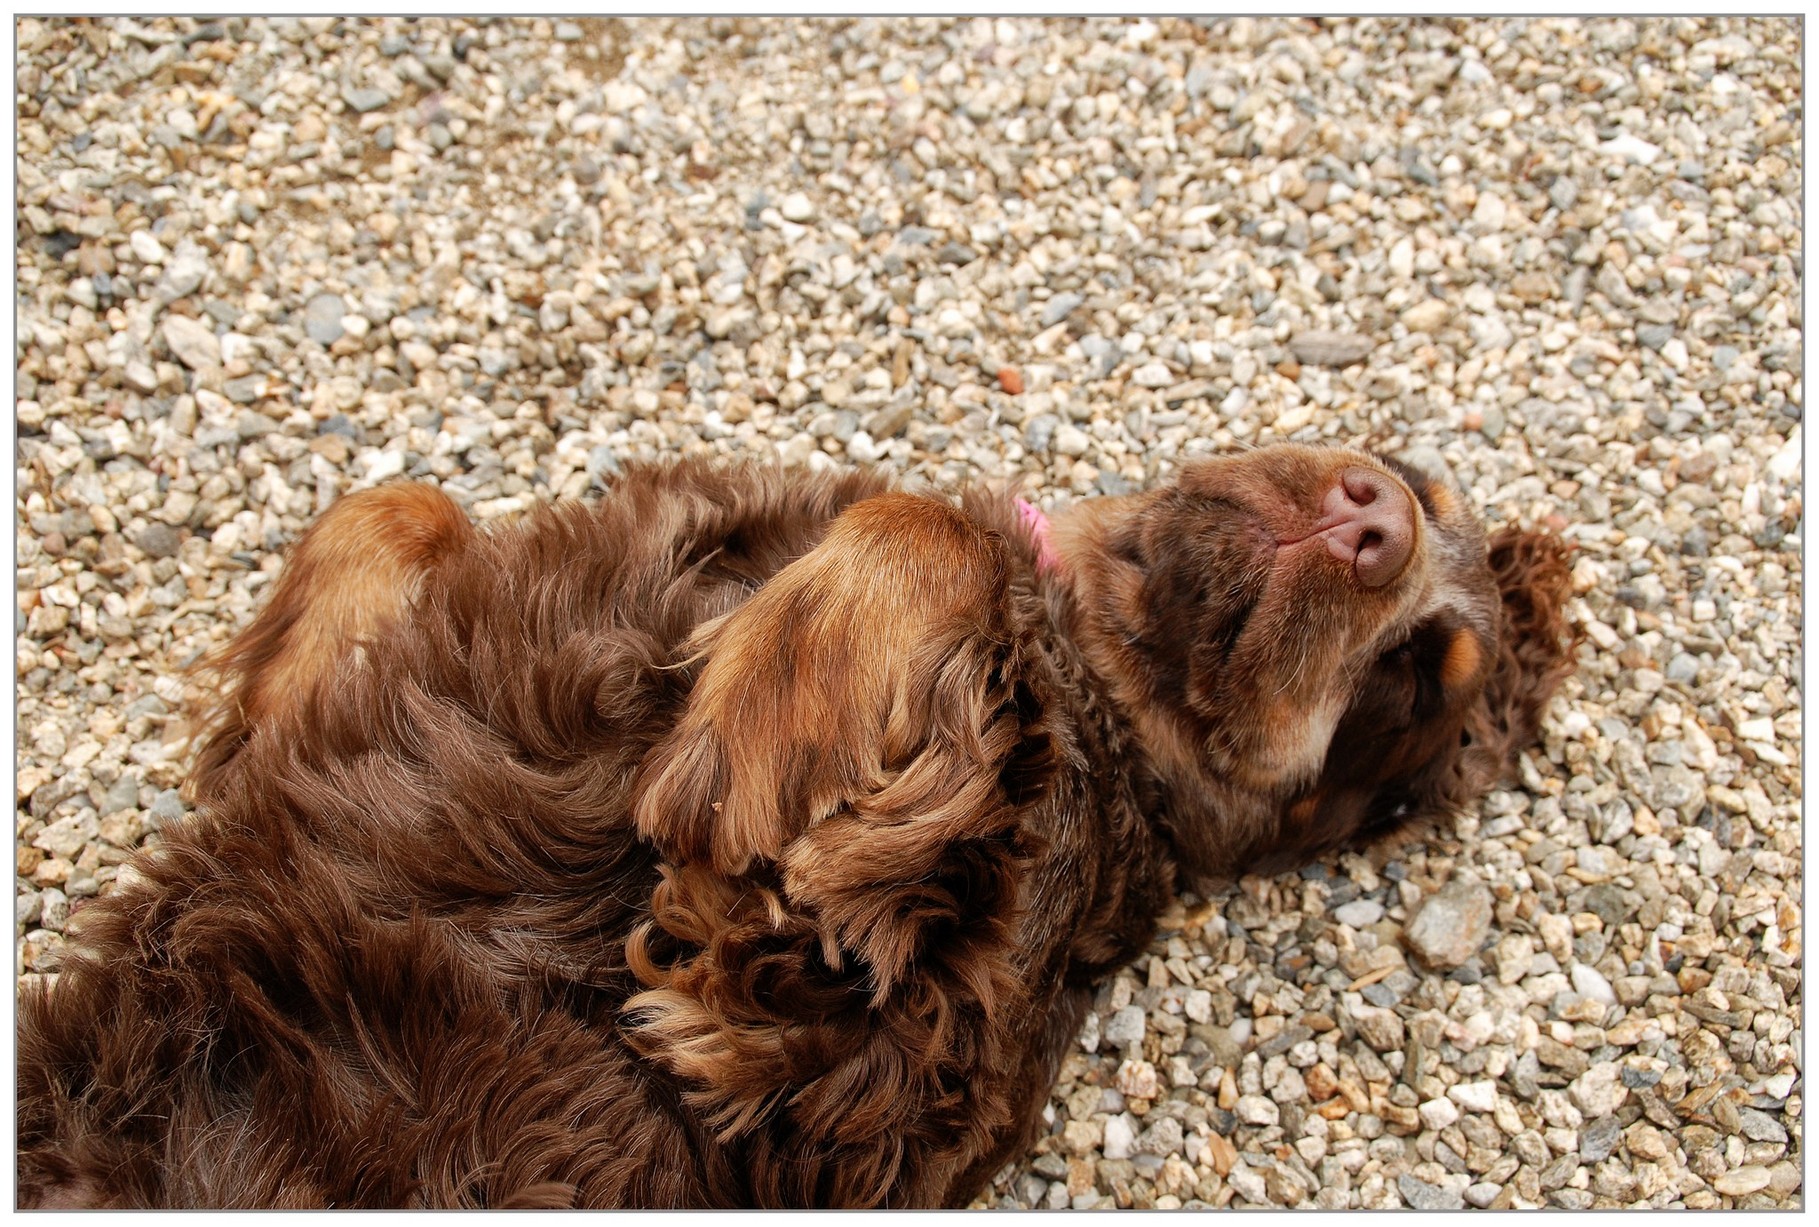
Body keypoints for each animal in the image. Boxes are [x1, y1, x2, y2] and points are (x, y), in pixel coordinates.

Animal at [14, 447, 1571, 1214]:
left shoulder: (848, 1050)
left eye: (1412, 679)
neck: (1092, 674)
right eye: (1419, 482)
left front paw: (771, 701)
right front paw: (270, 712)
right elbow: (393, 502)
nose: (1371, 519)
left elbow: (926, 536)